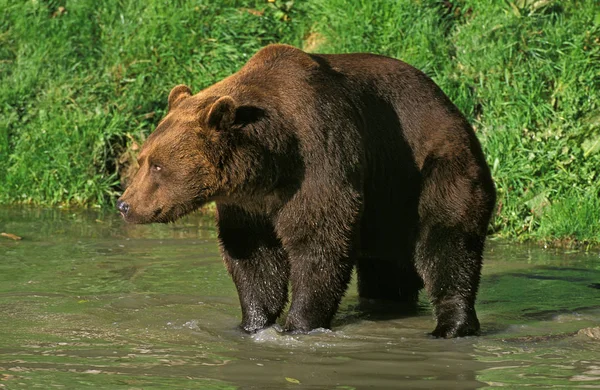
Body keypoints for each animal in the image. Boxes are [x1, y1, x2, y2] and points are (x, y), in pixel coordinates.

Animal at [118, 44, 496, 338]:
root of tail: (453, 108)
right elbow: (253, 257)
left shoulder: (319, 157)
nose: (124, 204)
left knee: (447, 244)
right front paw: (253, 323)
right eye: (143, 158)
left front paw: (297, 326)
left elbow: (319, 240)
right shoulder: (248, 205)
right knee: (386, 270)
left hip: (432, 171)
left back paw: (450, 326)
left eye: (157, 166)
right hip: (387, 202)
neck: (271, 163)